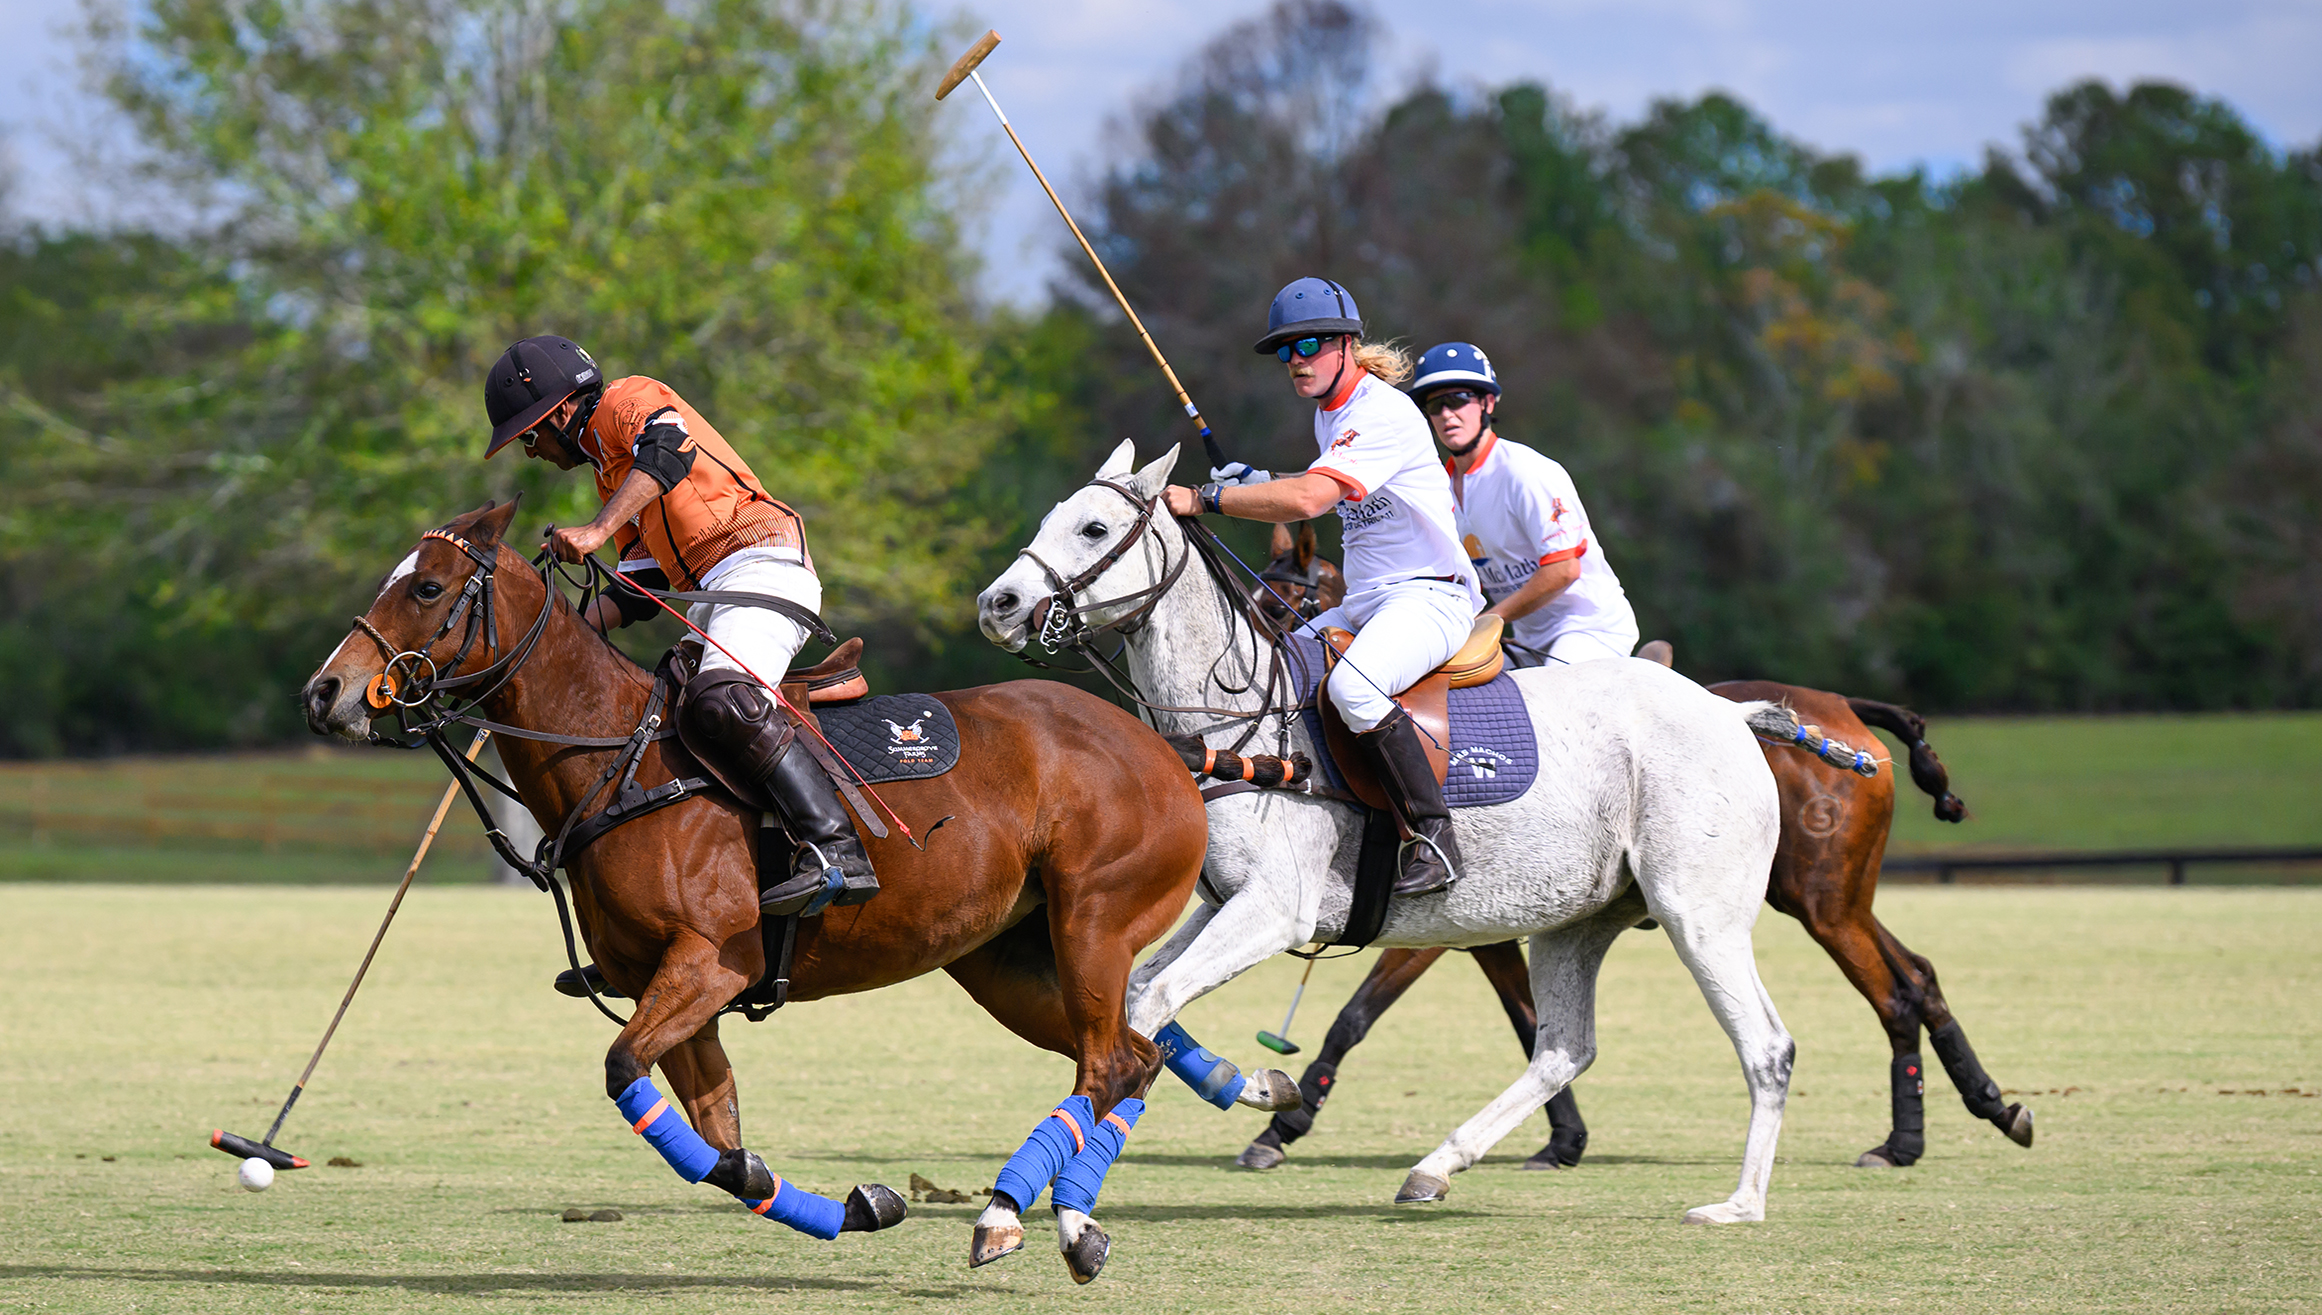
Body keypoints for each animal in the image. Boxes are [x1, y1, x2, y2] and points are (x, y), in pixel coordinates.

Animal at [297, 501, 1216, 1282]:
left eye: (427, 587)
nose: (324, 693)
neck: (618, 757)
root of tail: (1162, 745)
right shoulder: (670, 984)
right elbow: (722, 1140)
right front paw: (860, 1203)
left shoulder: (712, 961)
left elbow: (625, 1066)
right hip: (1006, 959)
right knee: (1133, 1057)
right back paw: (1063, 1221)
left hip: (1093, 922)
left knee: (1108, 1060)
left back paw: (1011, 1218)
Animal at [979, 443, 1792, 1254]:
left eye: (1093, 527)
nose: (998, 605)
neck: (1239, 722)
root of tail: (1730, 711)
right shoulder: (1222, 904)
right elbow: (1142, 994)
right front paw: (1255, 1087)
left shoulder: (1276, 910)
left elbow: (1147, 1010)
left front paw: (1048, 1213)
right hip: (1578, 922)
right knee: (1564, 1048)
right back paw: (1435, 1167)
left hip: (1700, 915)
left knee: (1766, 1046)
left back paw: (1739, 1203)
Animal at [1235, 541, 2034, 1180]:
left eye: (1285, 600)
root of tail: (1842, 706)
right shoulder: (1485, 928)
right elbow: (1528, 1021)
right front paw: (1561, 1139)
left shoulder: (1440, 920)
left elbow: (1356, 1017)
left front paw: (1281, 1127)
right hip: (1833, 897)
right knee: (1919, 976)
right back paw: (1978, 1113)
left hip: (1820, 900)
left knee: (1894, 992)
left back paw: (1906, 1139)